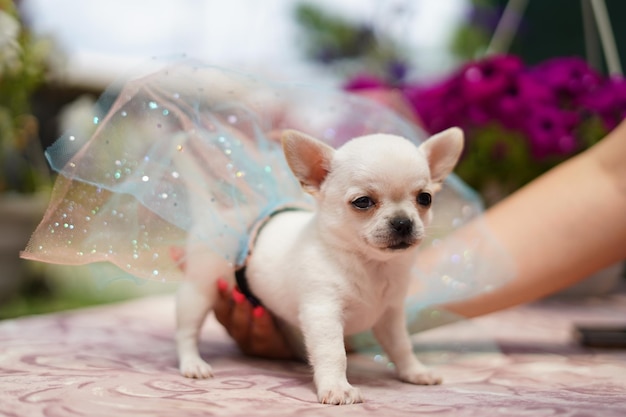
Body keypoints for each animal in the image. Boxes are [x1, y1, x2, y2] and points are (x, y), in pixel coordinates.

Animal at [176, 127, 464, 404]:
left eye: (425, 198)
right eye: (363, 202)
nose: (403, 222)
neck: (370, 264)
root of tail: (216, 215)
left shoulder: (389, 315)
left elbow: (401, 346)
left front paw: (414, 371)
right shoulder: (323, 312)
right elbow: (334, 352)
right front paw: (337, 387)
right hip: (200, 290)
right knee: (187, 331)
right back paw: (193, 364)